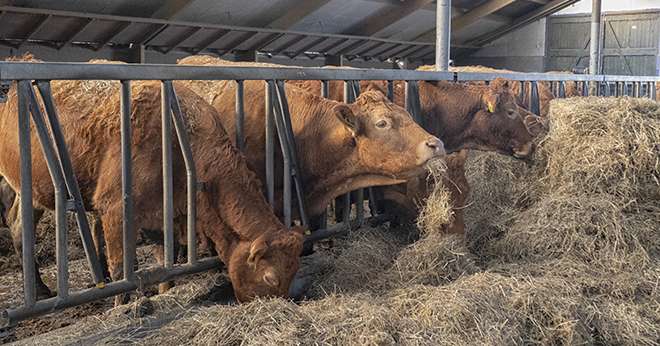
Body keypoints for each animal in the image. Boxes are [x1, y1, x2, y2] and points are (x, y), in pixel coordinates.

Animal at [0, 77, 302, 302]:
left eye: (293, 274)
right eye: (270, 278)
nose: (280, 304)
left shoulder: (163, 215)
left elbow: (164, 261)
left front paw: (163, 293)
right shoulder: (115, 210)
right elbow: (122, 270)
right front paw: (120, 307)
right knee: (20, 229)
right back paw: (41, 290)